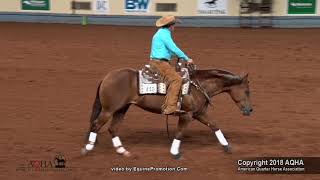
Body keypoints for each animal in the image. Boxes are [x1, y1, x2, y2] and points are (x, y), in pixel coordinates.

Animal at [81, 66, 254, 159]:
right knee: (96, 125)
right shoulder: (186, 115)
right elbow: (179, 133)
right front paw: (175, 152)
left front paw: (227, 146)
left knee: (112, 128)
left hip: (122, 109)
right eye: (247, 91)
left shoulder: (199, 114)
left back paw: (122, 151)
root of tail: (106, 77)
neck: (197, 86)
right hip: (109, 109)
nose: (250, 110)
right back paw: (87, 148)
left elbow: (214, 126)